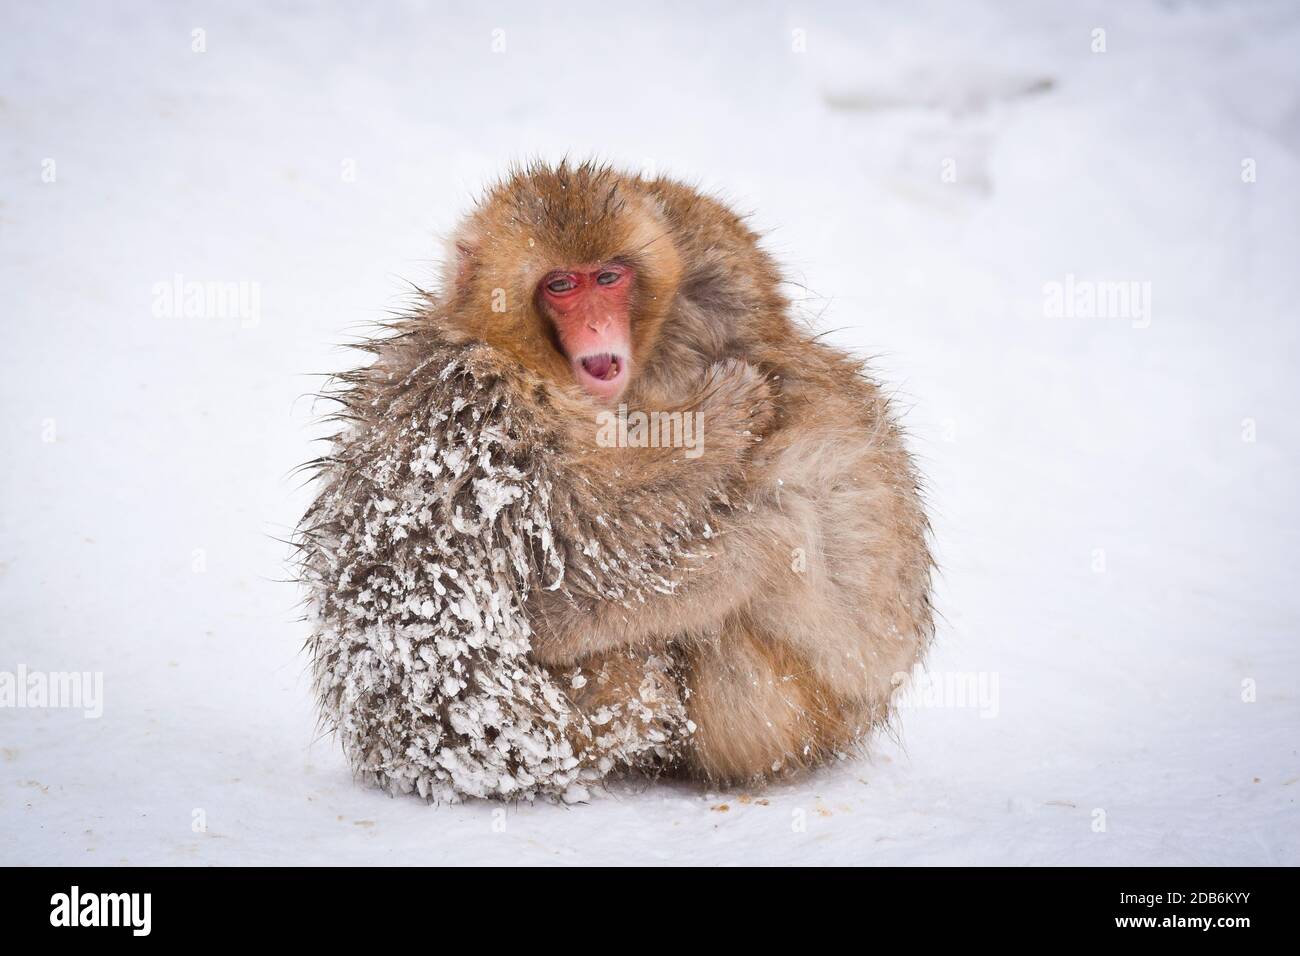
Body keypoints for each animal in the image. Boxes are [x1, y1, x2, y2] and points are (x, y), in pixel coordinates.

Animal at [436, 162, 935, 785]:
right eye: (561, 286)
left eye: (608, 278)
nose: (597, 325)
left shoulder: (774, 436)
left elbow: (764, 543)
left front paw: (553, 623)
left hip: (793, 715)